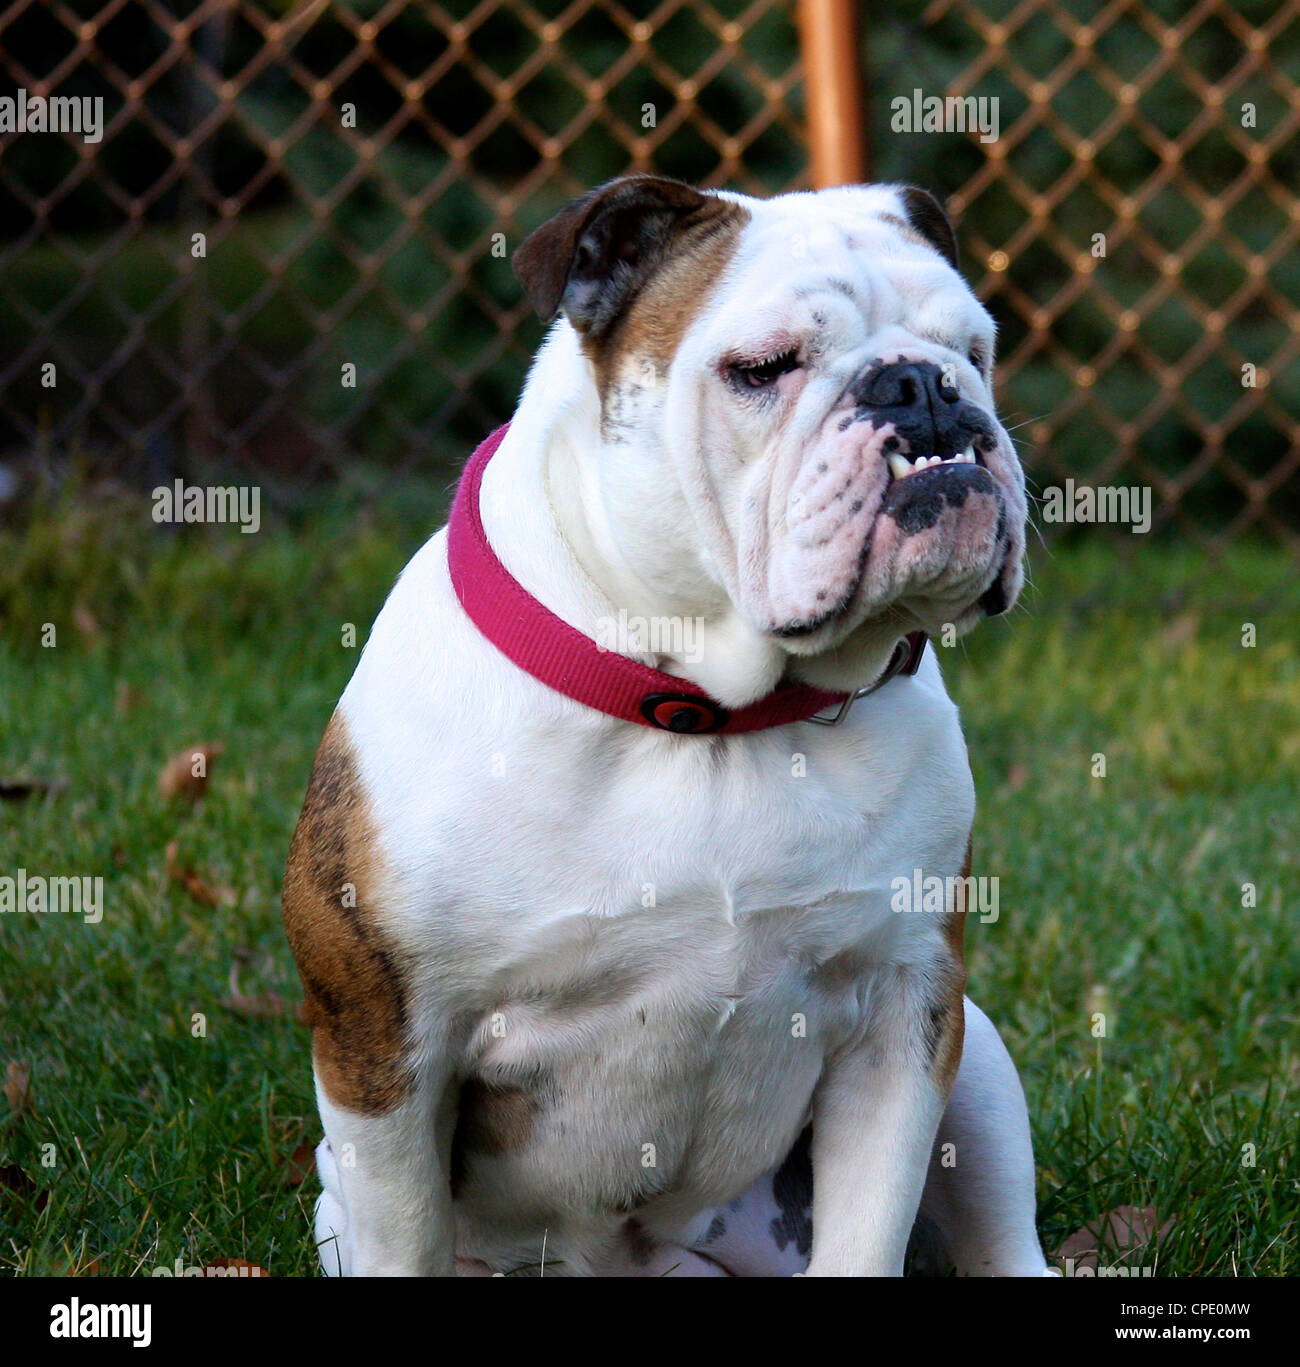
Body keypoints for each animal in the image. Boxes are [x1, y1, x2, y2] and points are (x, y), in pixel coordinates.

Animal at [281, 176, 1049, 1274]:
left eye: (974, 350)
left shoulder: (905, 1017)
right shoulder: (385, 1044)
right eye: (761, 369)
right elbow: (406, 1238)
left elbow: (868, 1229)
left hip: (973, 1050)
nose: (923, 386)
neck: (713, 713)